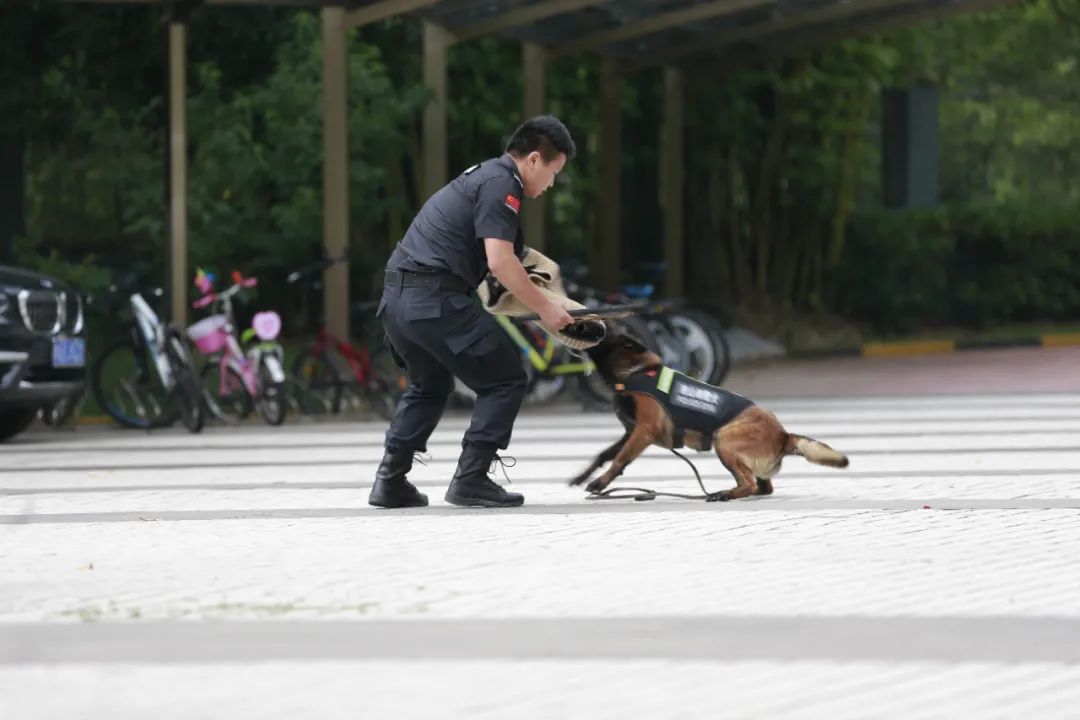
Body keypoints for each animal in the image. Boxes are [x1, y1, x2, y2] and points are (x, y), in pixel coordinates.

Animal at [570, 328, 846, 500]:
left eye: (603, 328)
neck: (634, 372)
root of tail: (782, 434)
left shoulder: (644, 431)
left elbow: (620, 459)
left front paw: (600, 482)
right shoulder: (630, 432)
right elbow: (604, 454)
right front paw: (583, 476)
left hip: (724, 440)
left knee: (749, 483)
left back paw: (724, 494)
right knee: (763, 487)